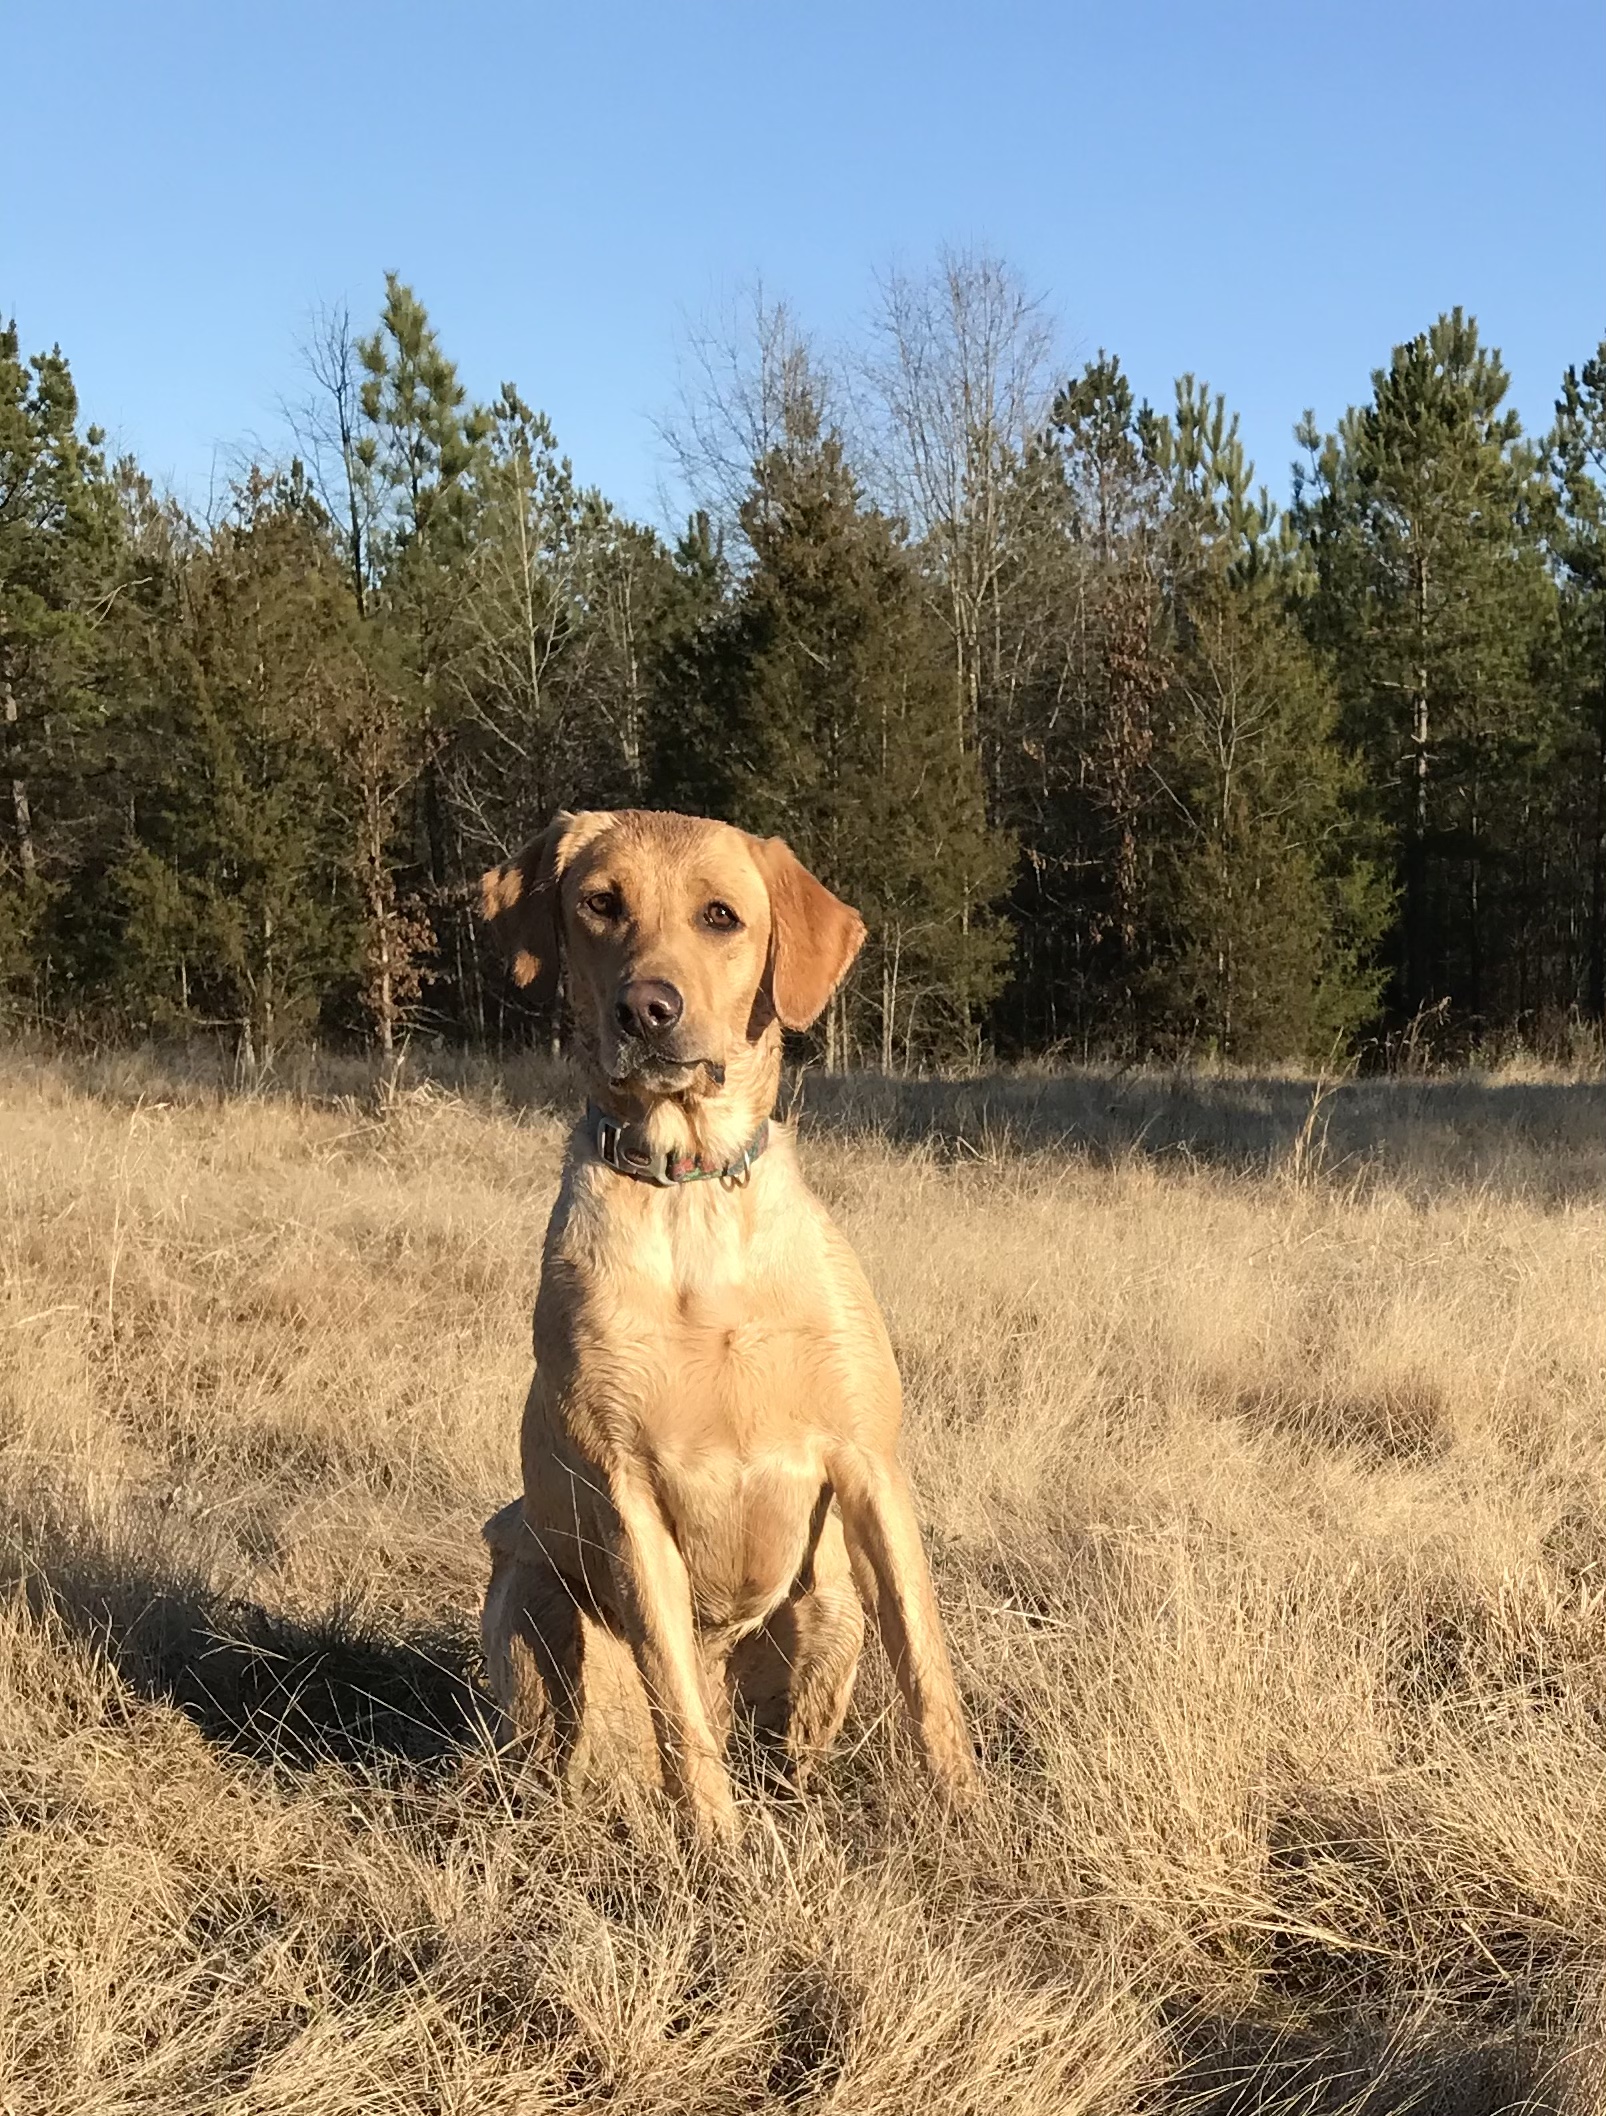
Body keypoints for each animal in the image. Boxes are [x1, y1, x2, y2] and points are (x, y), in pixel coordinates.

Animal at [478, 804, 981, 1836]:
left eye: (721, 916)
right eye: (601, 903)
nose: (646, 1009)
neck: (692, 1194)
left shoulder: (869, 1465)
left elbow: (927, 1666)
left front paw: (968, 1813)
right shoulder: (625, 1493)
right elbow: (677, 1709)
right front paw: (718, 1848)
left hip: (829, 1610)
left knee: (792, 1754)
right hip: (529, 1593)